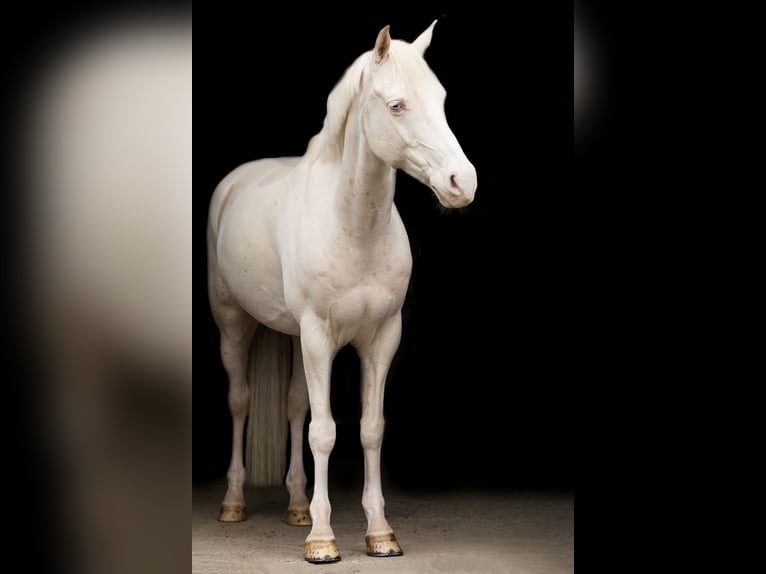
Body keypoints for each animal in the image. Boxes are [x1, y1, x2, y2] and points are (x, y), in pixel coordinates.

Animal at [207, 21, 477, 563]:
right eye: (396, 105)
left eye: (440, 99)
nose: (463, 182)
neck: (354, 226)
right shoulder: (319, 338)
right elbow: (325, 432)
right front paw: (322, 538)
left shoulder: (381, 339)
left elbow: (369, 429)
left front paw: (380, 533)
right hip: (234, 325)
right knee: (241, 401)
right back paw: (234, 503)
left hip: (290, 335)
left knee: (293, 405)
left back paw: (294, 506)